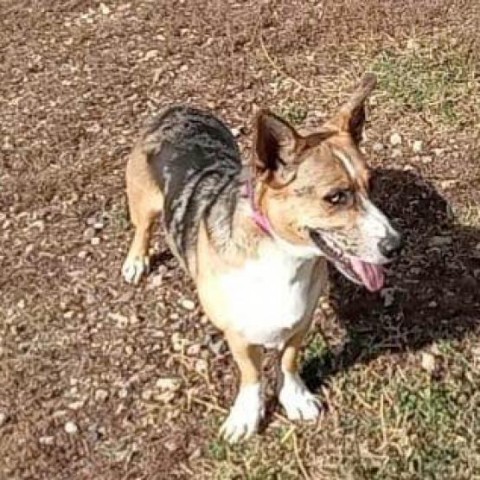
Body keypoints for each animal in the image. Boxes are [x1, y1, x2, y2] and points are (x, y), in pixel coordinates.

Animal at [121, 74, 402, 442]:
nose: (396, 245)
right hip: (144, 203)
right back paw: (136, 261)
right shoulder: (238, 334)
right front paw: (246, 416)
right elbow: (251, 376)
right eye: (336, 197)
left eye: (372, 185)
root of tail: (178, 109)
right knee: (142, 228)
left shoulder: (301, 321)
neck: (282, 257)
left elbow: (288, 362)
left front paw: (295, 398)